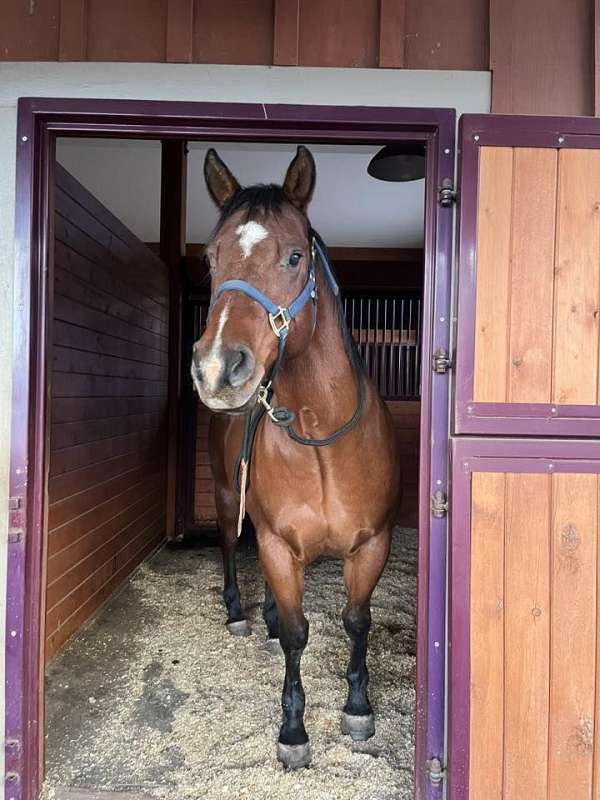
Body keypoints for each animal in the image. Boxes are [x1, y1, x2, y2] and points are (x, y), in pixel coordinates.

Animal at [191, 145, 401, 770]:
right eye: (211, 258)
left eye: (293, 256)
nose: (217, 369)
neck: (321, 437)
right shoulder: (280, 545)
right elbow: (295, 633)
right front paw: (292, 731)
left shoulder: (372, 544)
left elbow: (356, 620)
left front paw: (358, 709)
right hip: (227, 498)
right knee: (230, 549)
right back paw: (240, 613)